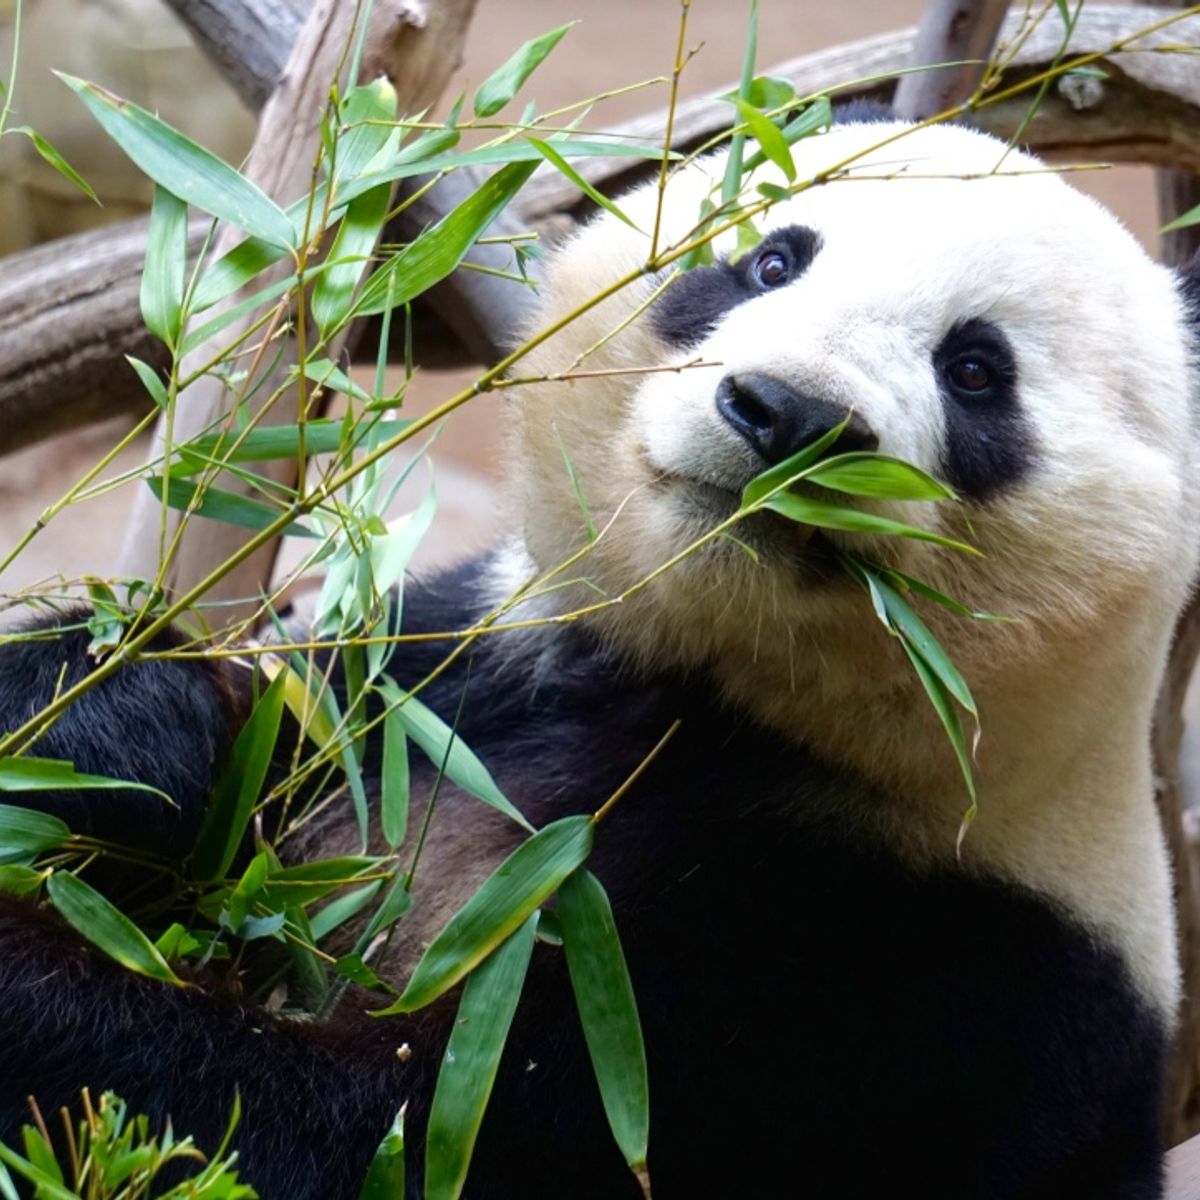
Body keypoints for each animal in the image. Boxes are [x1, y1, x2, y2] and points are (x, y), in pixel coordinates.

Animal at [1, 112, 1198, 1200]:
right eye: (771, 259)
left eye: (977, 369)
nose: (784, 413)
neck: (719, 695)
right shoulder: (466, 671)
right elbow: (282, 715)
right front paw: (116, 725)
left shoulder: (912, 982)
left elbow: (383, 1136)